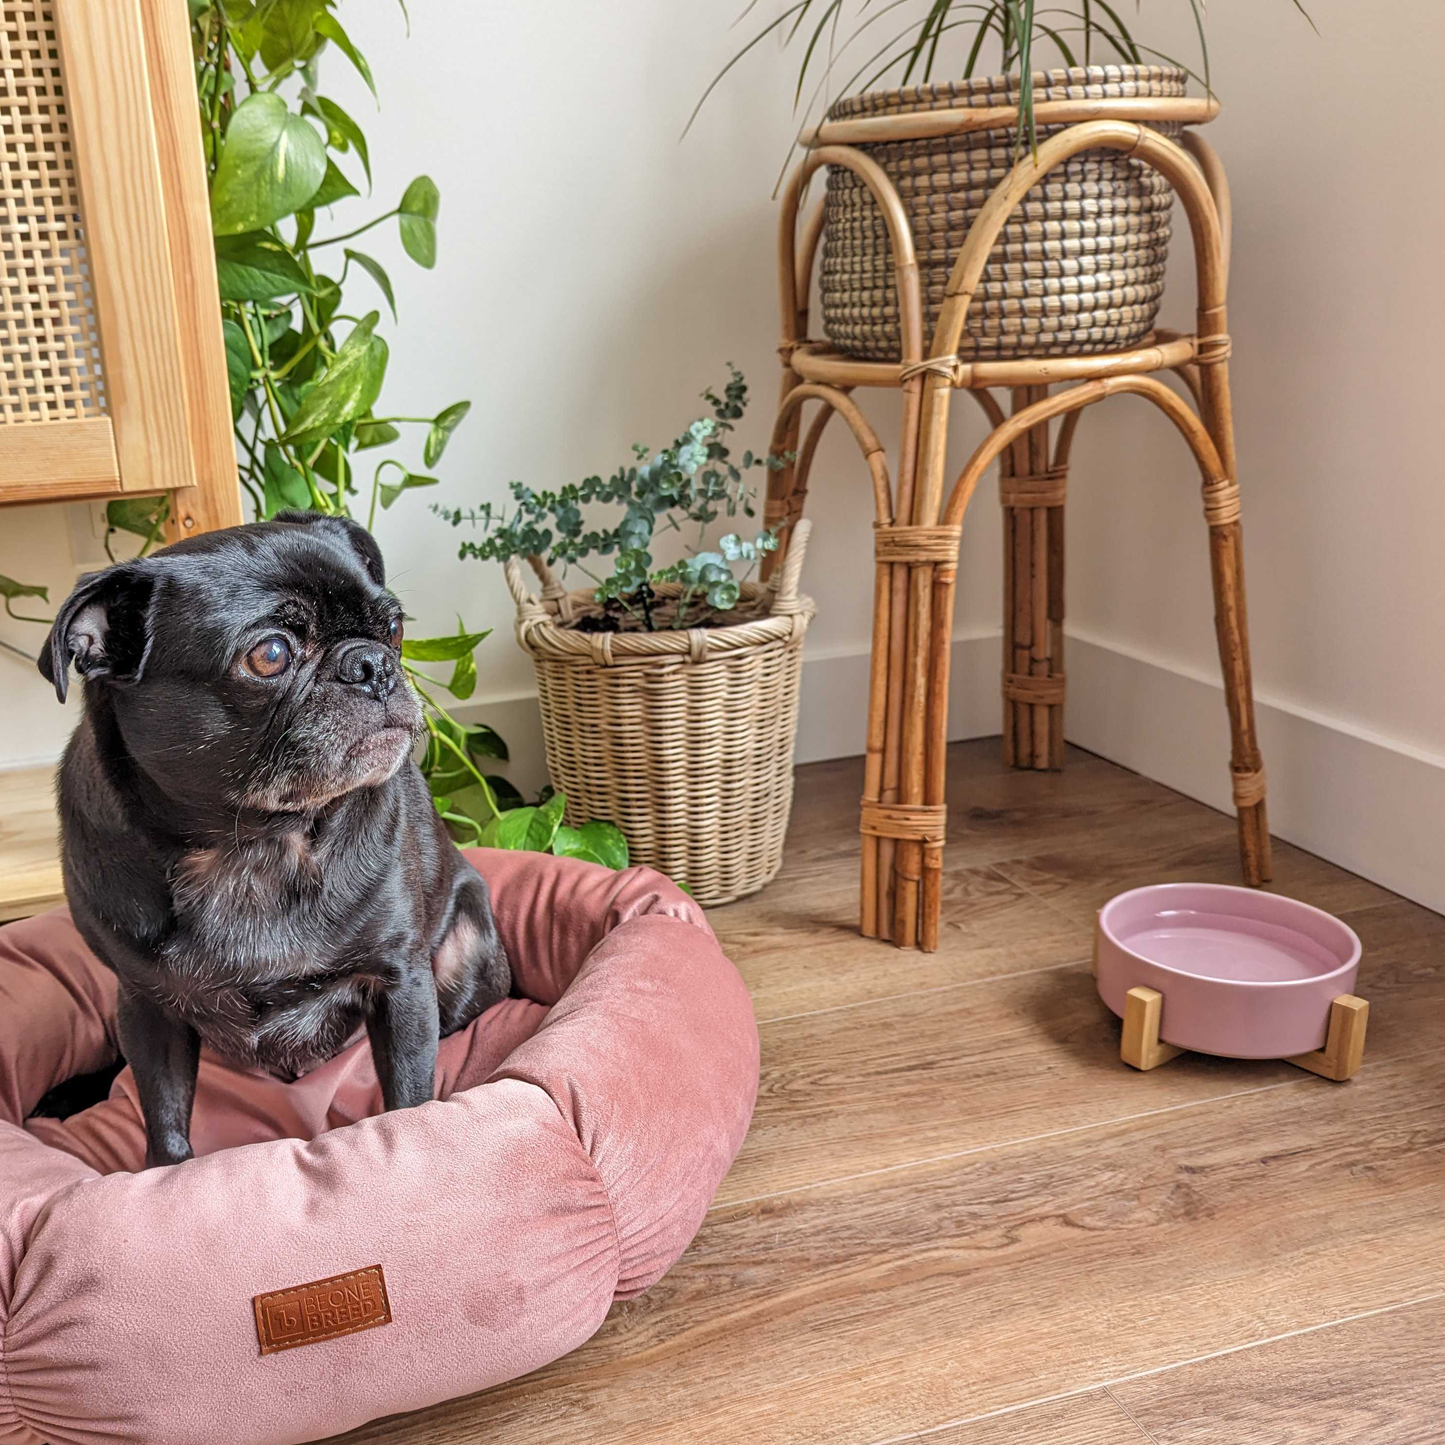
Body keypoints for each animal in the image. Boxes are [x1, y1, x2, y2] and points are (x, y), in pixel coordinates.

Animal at [39, 514, 511, 1167]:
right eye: (270, 655)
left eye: (393, 628)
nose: (373, 664)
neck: (255, 842)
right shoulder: (146, 1008)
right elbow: (163, 1119)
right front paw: (165, 1175)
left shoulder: (400, 983)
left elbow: (408, 1100)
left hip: (462, 963)